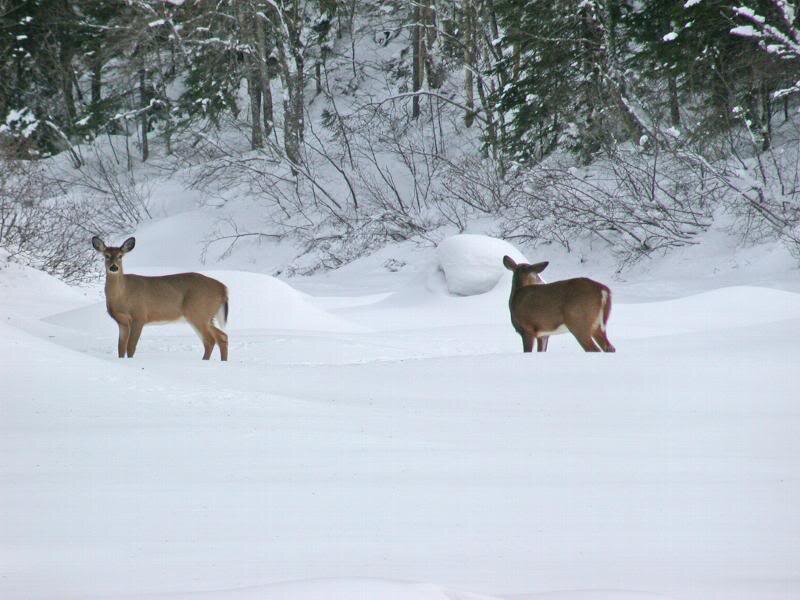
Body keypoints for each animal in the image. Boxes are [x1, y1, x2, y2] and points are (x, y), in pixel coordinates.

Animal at [92, 236, 229, 361]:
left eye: (120, 256)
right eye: (106, 256)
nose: (114, 267)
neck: (122, 296)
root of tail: (223, 288)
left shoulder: (140, 315)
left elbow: (130, 347)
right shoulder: (122, 321)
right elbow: (121, 348)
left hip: (198, 312)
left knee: (210, 340)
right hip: (206, 316)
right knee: (222, 337)